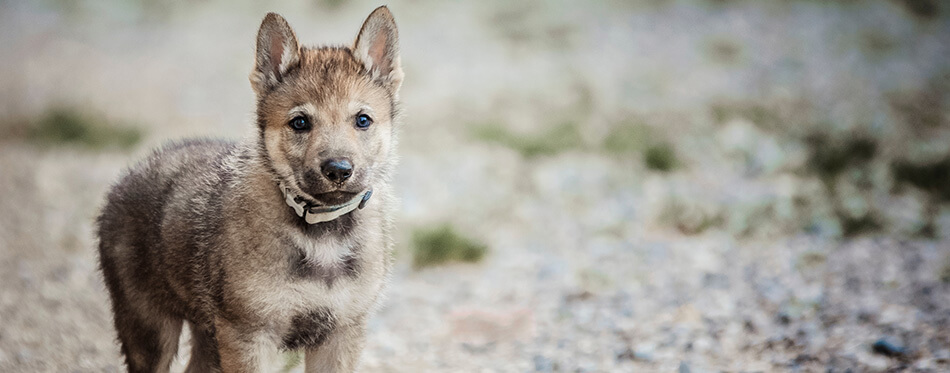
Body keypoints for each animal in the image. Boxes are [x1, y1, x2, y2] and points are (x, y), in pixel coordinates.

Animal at [99, 6, 402, 372]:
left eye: (362, 120)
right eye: (300, 122)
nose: (338, 170)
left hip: (207, 335)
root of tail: (132, 172)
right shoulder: (249, 334)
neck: (321, 237)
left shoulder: (341, 332)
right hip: (150, 329)